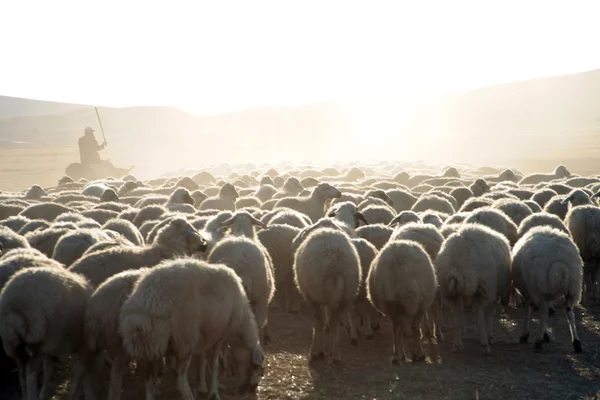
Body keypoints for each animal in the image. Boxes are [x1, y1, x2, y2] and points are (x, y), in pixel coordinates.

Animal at [0, 264, 93, 398]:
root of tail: (17, 303)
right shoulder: (81, 347)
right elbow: (79, 374)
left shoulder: (53, 349)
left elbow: (49, 369)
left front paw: (45, 392)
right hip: (38, 337)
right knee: (30, 372)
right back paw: (31, 396)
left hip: (12, 345)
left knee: (21, 373)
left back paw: (25, 394)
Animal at [292, 228, 358, 362]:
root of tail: (334, 263)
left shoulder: (310, 297)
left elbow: (319, 322)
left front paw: (318, 351)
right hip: (346, 295)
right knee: (334, 323)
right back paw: (335, 354)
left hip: (314, 292)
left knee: (320, 320)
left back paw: (318, 352)